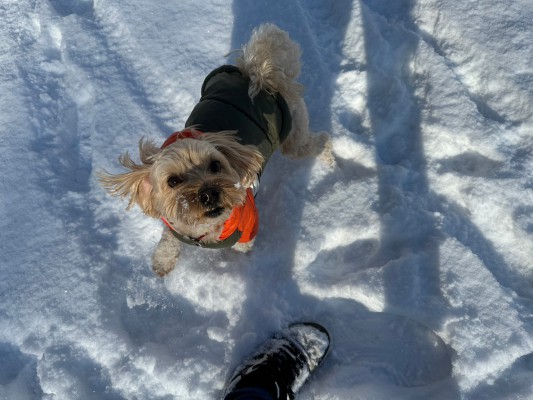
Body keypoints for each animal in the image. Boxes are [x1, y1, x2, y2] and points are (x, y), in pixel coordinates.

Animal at [98, 23, 330, 276]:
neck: (203, 230)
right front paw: (162, 261)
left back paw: (332, 158)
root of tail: (259, 73)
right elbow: (168, 240)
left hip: (294, 134)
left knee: (320, 141)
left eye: (216, 165)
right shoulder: (173, 226)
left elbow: (242, 246)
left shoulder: (248, 225)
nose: (209, 193)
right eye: (173, 181)